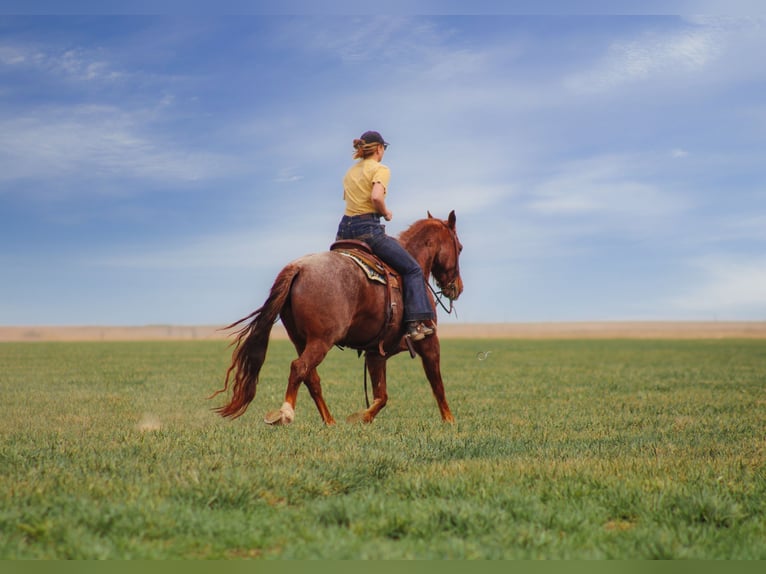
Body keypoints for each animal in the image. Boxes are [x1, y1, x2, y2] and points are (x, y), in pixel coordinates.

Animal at [207, 212, 464, 428]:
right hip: (321, 341)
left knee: (311, 378)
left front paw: (362, 418)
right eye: (459, 248)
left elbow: (381, 396)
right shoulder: (429, 342)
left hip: (301, 340)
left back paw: (330, 422)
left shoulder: (375, 354)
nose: (457, 288)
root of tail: (298, 267)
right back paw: (286, 413)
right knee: (299, 368)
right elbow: (436, 383)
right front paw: (449, 420)